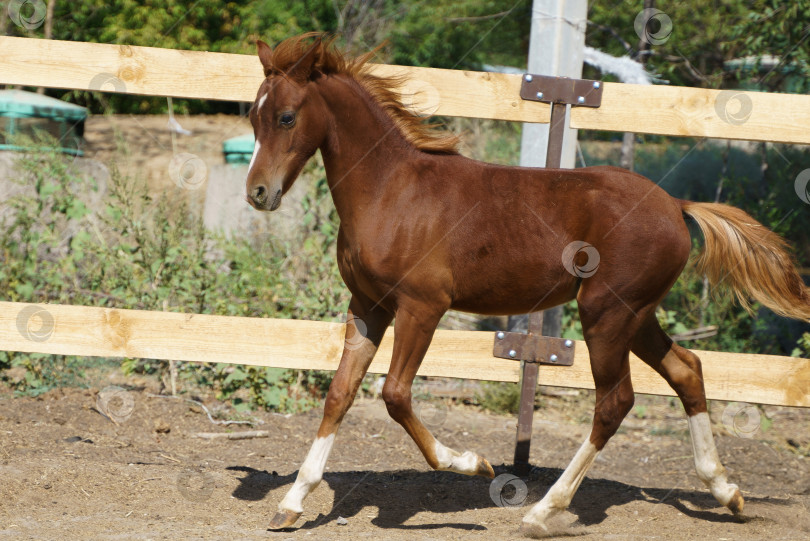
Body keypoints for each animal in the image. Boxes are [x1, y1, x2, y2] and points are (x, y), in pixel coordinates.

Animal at [245, 33, 808, 532]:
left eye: (287, 116)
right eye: (252, 116)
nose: (258, 193)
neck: (392, 191)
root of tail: (676, 204)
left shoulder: (422, 306)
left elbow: (395, 395)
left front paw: (474, 463)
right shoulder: (368, 305)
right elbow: (340, 393)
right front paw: (291, 503)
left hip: (606, 315)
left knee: (615, 402)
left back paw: (542, 512)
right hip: (635, 315)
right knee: (687, 370)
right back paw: (726, 491)